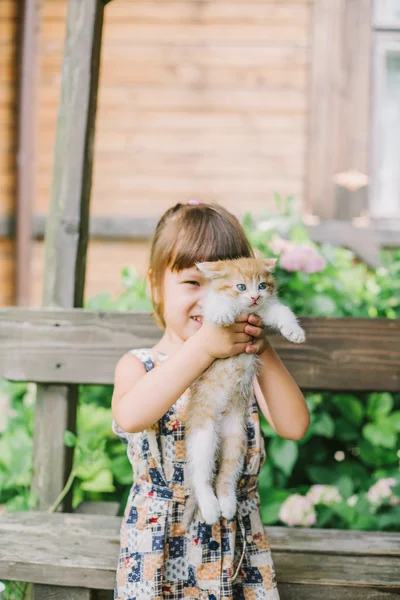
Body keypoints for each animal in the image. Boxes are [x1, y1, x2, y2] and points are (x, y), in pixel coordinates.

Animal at [183, 255, 304, 528]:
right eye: (240, 287)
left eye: (262, 286)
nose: (255, 297)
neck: (247, 311)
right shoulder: (208, 312)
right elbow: (216, 306)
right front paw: (223, 311)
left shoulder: (264, 310)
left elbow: (281, 310)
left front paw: (294, 331)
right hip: (204, 431)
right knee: (201, 473)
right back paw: (210, 507)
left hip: (237, 436)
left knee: (226, 473)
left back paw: (226, 504)